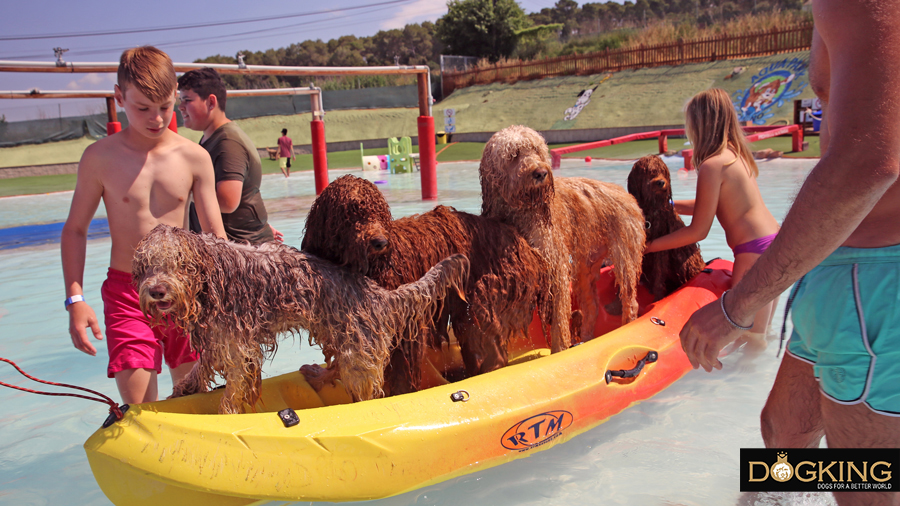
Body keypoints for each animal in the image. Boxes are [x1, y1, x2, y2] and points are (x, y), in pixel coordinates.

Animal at [135, 223, 472, 414]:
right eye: (148, 264)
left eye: (180, 264)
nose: (157, 291)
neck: (209, 279)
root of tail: (378, 294)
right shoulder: (218, 337)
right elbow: (202, 367)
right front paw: (183, 389)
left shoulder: (238, 346)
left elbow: (235, 387)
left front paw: (226, 414)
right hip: (336, 333)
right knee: (338, 367)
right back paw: (317, 375)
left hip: (358, 350)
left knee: (365, 389)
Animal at [482, 124, 644, 350]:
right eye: (514, 154)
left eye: (537, 150)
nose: (541, 172)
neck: (523, 210)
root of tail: (627, 195)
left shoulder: (555, 266)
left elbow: (559, 318)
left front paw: (559, 349)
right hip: (586, 268)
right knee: (592, 308)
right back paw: (586, 339)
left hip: (625, 259)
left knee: (630, 301)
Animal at [624, 154, 704, 300]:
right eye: (649, 172)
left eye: (663, 171)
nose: (661, 182)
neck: (651, 210)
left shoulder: (660, 247)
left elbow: (659, 272)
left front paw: (658, 295)